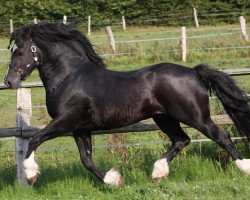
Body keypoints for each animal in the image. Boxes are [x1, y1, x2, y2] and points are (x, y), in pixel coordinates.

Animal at [3, 23, 250, 186]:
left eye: (20, 51)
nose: (9, 81)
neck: (70, 77)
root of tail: (194, 71)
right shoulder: (80, 128)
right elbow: (86, 160)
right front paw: (114, 180)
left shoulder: (65, 121)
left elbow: (35, 139)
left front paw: (31, 175)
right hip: (164, 117)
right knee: (182, 140)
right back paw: (158, 173)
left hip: (196, 117)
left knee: (221, 137)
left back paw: (244, 168)